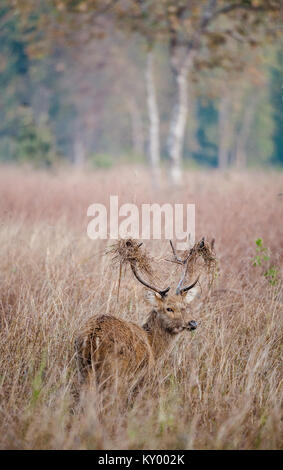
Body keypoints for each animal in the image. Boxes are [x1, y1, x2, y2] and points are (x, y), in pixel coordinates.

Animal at [74, 237, 216, 392]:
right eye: (168, 308)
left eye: (185, 306)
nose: (192, 323)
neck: (153, 346)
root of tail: (91, 339)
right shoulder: (142, 378)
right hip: (114, 373)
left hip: (84, 370)